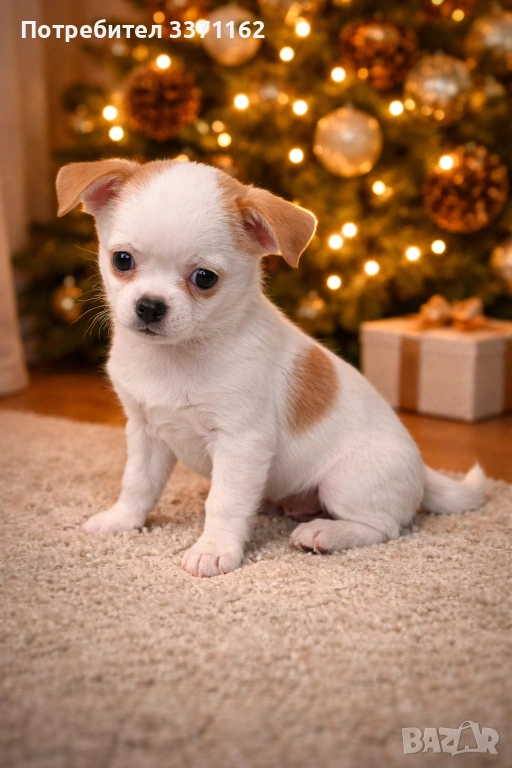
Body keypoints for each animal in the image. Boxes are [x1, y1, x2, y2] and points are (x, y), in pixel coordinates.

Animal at [56, 158, 486, 577]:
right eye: (121, 260)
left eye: (204, 278)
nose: (149, 306)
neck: (176, 356)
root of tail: (423, 469)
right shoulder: (146, 432)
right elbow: (137, 484)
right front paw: (122, 521)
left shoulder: (241, 441)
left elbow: (224, 503)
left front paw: (214, 550)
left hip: (347, 481)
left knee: (383, 527)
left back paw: (324, 533)